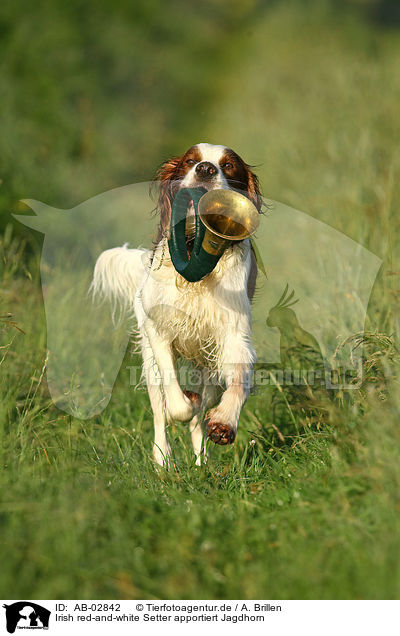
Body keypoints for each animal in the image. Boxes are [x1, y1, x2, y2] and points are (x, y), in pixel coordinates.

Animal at [92, 142, 264, 464]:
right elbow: (174, 400)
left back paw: (201, 462)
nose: (206, 169)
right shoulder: (158, 333)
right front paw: (183, 406)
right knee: (160, 412)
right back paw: (163, 461)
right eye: (190, 161)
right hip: (149, 361)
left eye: (228, 165)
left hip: (208, 367)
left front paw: (224, 423)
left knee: (200, 415)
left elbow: (237, 384)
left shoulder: (233, 336)